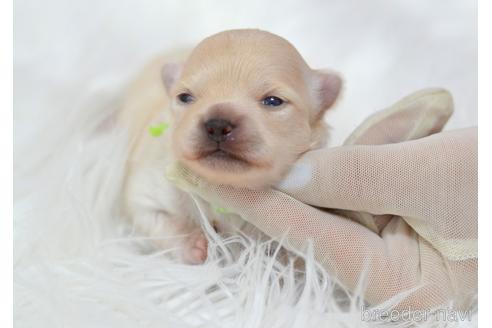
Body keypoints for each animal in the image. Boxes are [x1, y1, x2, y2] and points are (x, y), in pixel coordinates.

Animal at [121, 28, 340, 264]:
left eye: (273, 101)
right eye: (185, 97)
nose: (217, 125)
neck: (226, 190)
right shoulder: (148, 189)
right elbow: (158, 219)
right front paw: (195, 245)